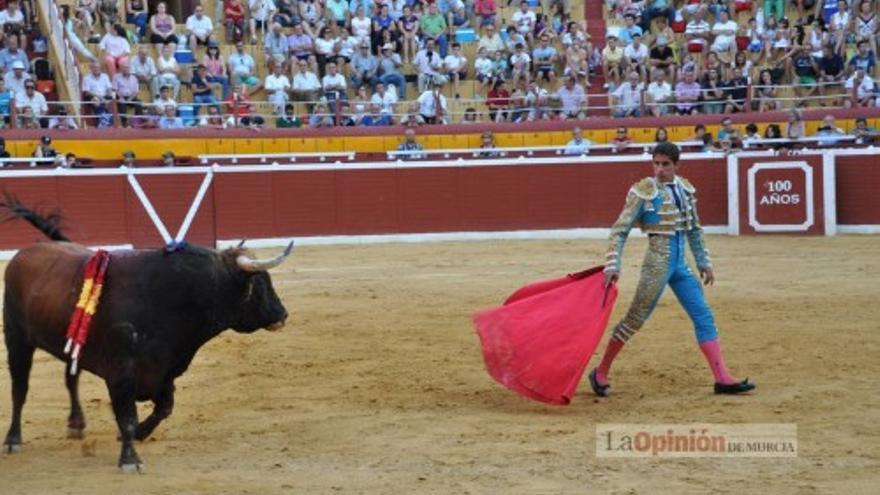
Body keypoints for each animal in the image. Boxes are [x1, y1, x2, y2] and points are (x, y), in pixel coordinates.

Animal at [0, 198, 296, 472]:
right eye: (260, 282)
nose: (282, 314)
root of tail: (26, 253)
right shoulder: (121, 372)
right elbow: (127, 417)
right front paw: (130, 459)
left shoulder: (164, 371)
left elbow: (164, 408)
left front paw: (139, 434)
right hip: (17, 338)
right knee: (20, 389)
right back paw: (13, 439)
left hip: (72, 342)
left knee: (70, 378)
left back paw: (76, 424)